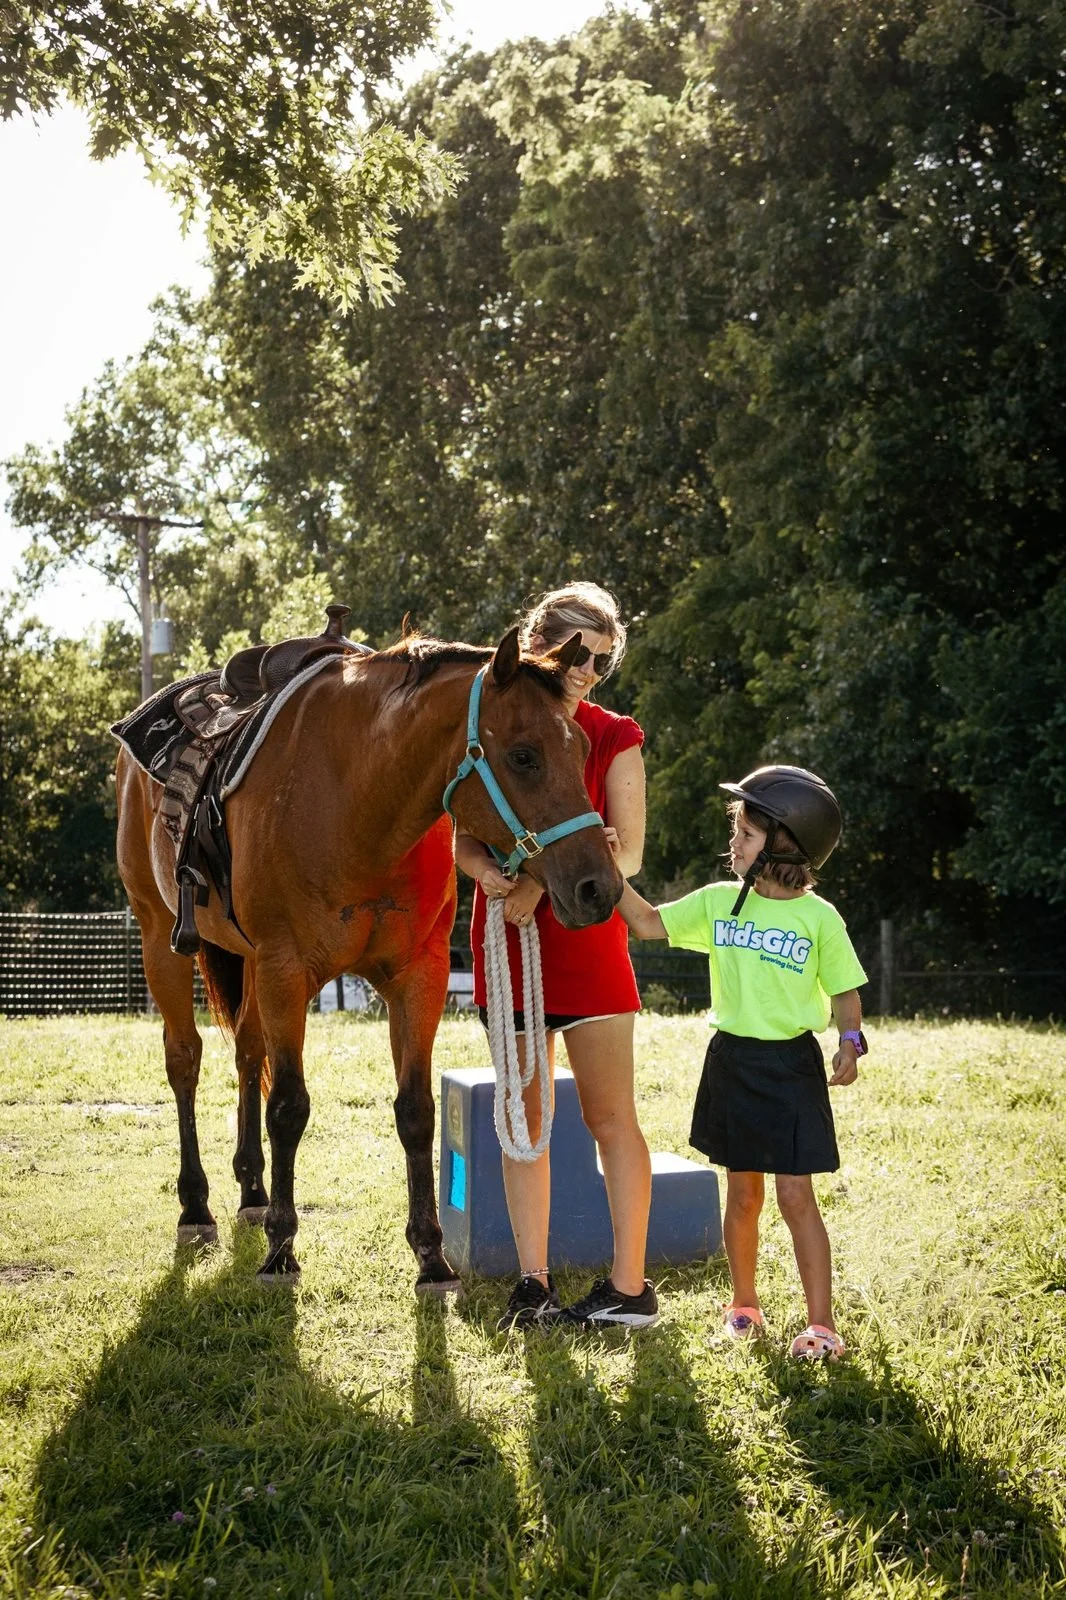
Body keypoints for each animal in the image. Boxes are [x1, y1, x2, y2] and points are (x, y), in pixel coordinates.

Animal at [115, 627, 622, 1290]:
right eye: (523, 756)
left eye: (581, 745)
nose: (599, 888)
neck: (359, 802)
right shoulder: (285, 971)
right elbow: (289, 1107)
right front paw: (282, 1250)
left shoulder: (418, 977)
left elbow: (416, 1110)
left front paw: (431, 1256)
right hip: (162, 938)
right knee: (185, 1061)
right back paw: (196, 1206)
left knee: (248, 1053)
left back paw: (252, 1192)